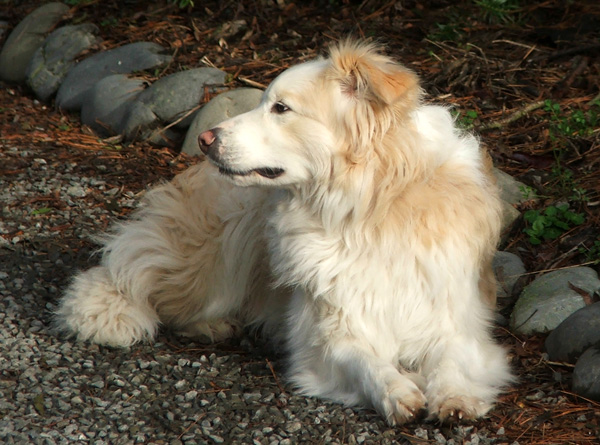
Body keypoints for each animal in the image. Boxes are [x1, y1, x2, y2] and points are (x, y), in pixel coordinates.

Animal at [58, 40, 512, 424]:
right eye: (265, 103)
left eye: (281, 108)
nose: (205, 139)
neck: (366, 210)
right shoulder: (328, 333)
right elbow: (366, 361)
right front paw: (397, 391)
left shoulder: (456, 322)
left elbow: (451, 361)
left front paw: (454, 397)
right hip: (229, 238)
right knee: (152, 289)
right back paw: (212, 324)